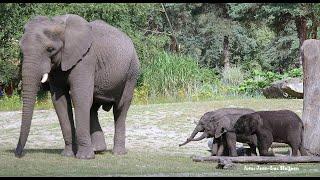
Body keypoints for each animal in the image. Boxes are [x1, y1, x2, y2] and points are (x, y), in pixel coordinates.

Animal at [15, 14, 139, 159]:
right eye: (21, 48)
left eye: (50, 49)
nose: (18, 154)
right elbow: (60, 101)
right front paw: (67, 155)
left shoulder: (85, 59)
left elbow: (80, 98)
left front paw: (84, 158)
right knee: (93, 108)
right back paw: (97, 150)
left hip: (132, 72)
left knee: (120, 108)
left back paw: (118, 153)